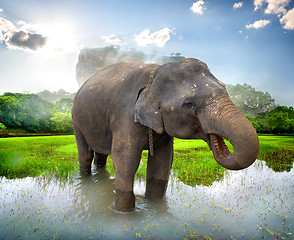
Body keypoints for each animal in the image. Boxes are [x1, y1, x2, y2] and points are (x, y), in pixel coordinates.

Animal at [72, 58, 258, 212]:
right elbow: (126, 162)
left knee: (101, 154)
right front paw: (123, 214)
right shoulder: (125, 115)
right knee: (85, 154)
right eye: (189, 104)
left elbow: (161, 162)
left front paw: (154, 207)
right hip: (76, 121)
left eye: (225, 88)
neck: (153, 77)